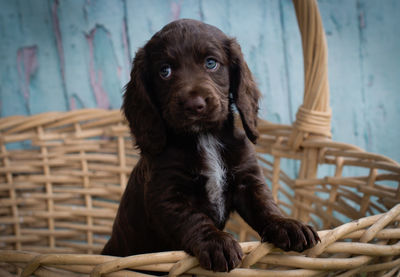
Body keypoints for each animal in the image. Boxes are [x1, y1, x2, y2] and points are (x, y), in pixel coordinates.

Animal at [102, 19, 318, 272]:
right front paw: (217, 243)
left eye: (211, 63)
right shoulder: (167, 195)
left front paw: (287, 224)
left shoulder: (248, 180)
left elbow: (264, 204)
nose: (194, 104)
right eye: (165, 71)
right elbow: (194, 219)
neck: (205, 137)